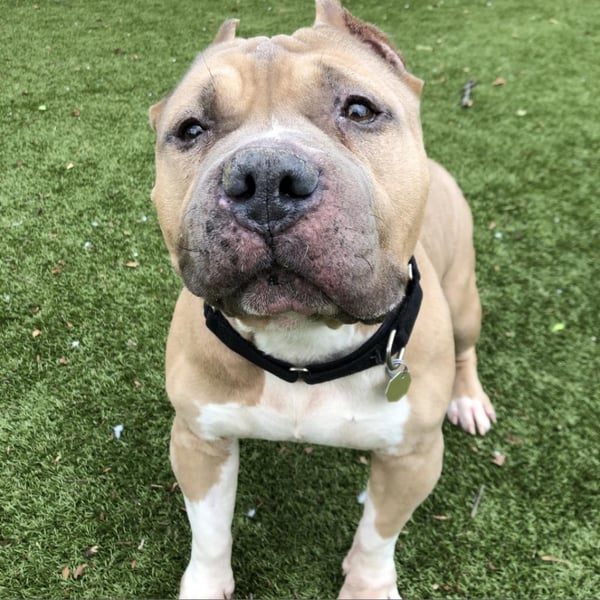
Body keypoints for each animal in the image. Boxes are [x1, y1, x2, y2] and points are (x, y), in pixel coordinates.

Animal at [148, 2, 494, 596]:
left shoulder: (412, 457)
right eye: (190, 129)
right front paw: (205, 584)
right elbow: (209, 532)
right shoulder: (198, 439)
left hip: (465, 300)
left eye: (359, 109)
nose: (264, 178)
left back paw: (468, 398)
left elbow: (379, 534)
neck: (302, 345)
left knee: (466, 348)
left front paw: (369, 587)